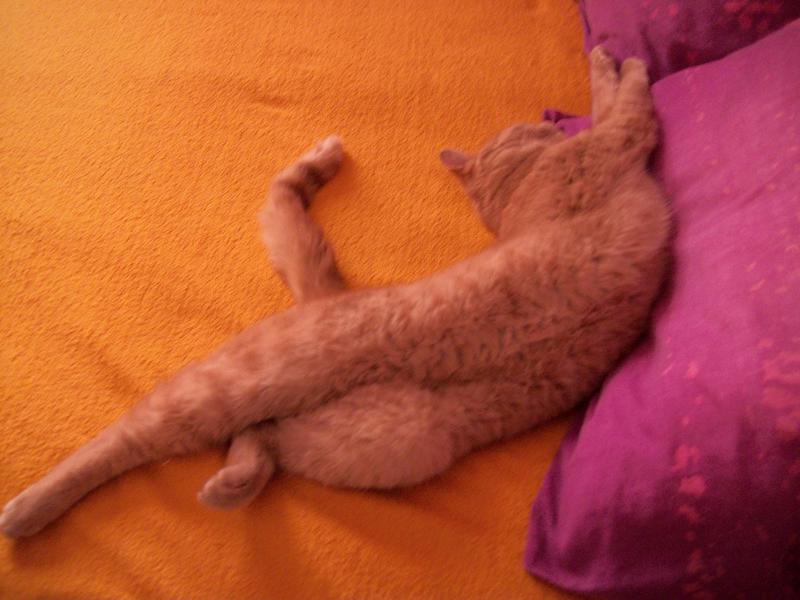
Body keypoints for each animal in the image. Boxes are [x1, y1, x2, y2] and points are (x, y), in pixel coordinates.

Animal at [0, 47, 670, 538]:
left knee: (261, 437)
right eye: (527, 127)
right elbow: (623, 102)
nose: (542, 120)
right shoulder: (617, 141)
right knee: (130, 437)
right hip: (224, 389)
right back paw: (29, 511)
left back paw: (232, 484)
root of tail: (332, 302)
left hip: (387, 443)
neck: (515, 193)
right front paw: (619, 63)